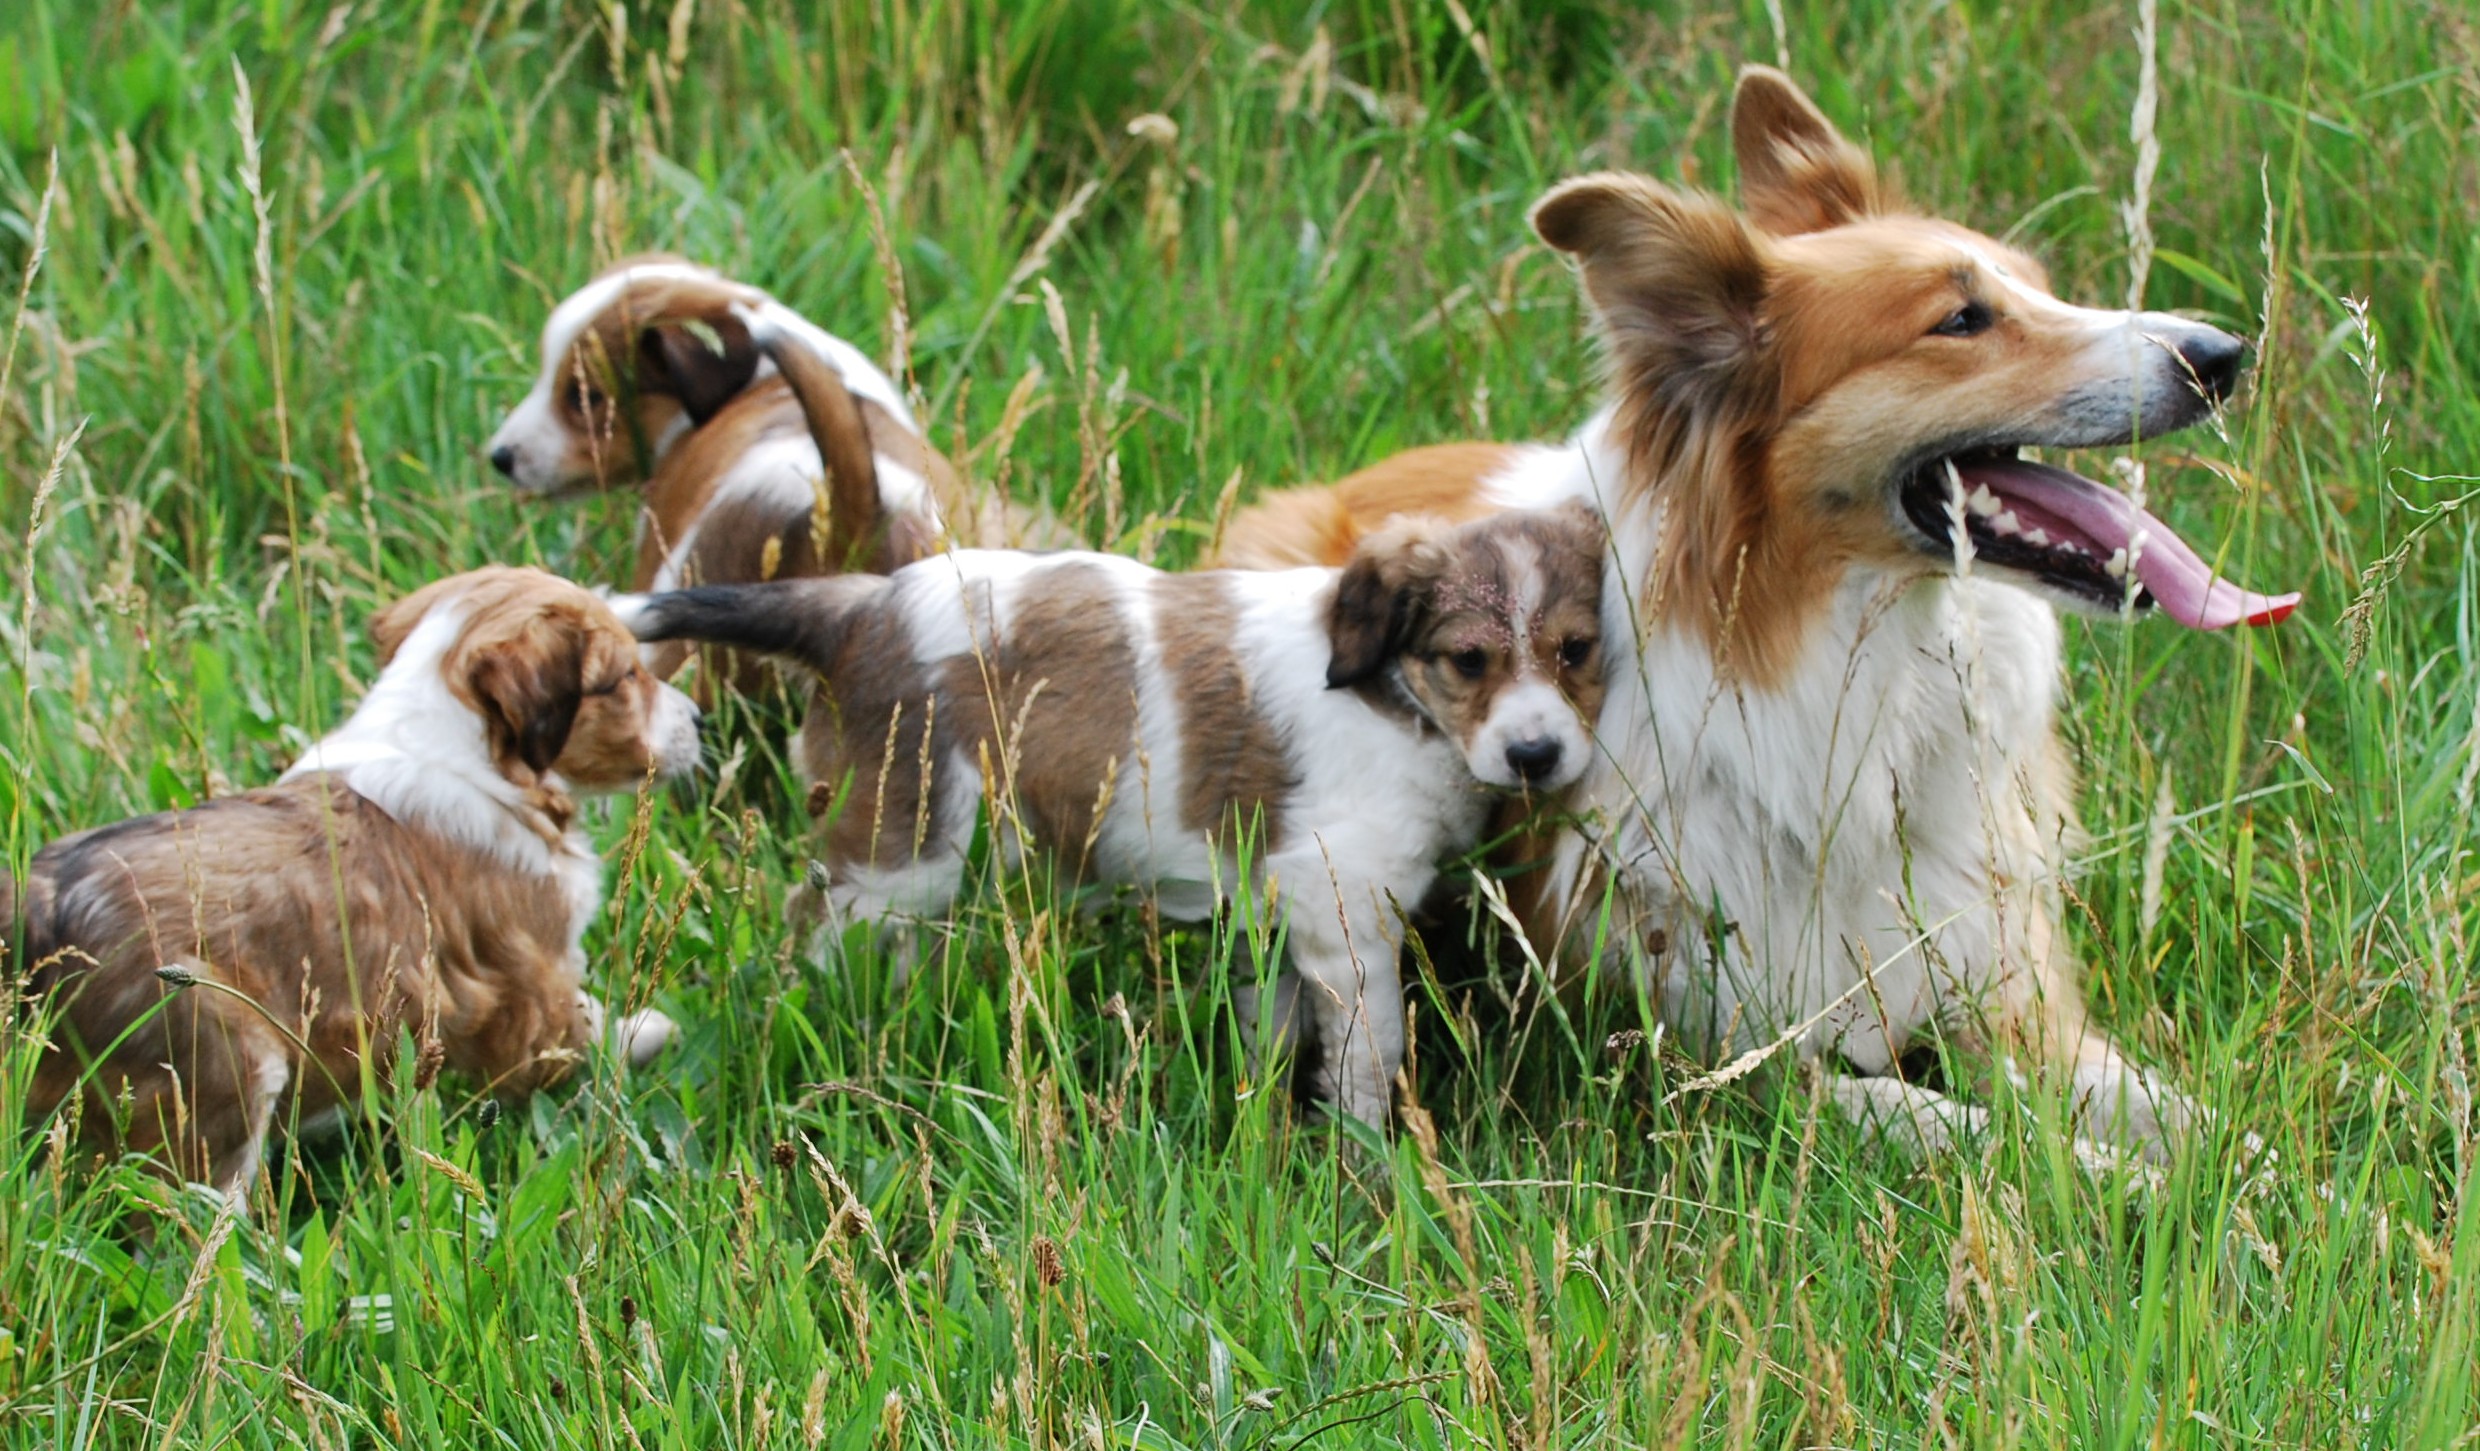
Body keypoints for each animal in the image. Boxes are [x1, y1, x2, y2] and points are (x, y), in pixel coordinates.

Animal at [4, 567, 704, 1200]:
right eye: (624, 679)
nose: (699, 718)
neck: (450, 747)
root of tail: (42, 907)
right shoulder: (531, 979)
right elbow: (580, 1026)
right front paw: (647, 1032)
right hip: (218, 1066)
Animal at [610, 503, 1597, 1126]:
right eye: (1469, 660)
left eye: (1578, 650)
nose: (1537, 755)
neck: (1399, 697)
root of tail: (858, 608)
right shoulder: (1345, 906)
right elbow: (1370, 1051)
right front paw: (1367, 1166)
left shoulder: (1274, 915)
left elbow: (1272, 1027)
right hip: (909, 840)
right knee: (816, 926)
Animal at [1220, 67, 2301, 1160]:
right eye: (1960, 321)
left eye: (2040, 284)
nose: (2224, 354)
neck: (1852, 659)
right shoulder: (1722, 1063)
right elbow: (1961, 1126)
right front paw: (2101, 1172)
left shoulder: (2010, 989)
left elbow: (2167, 1107)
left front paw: (2253, 1168)